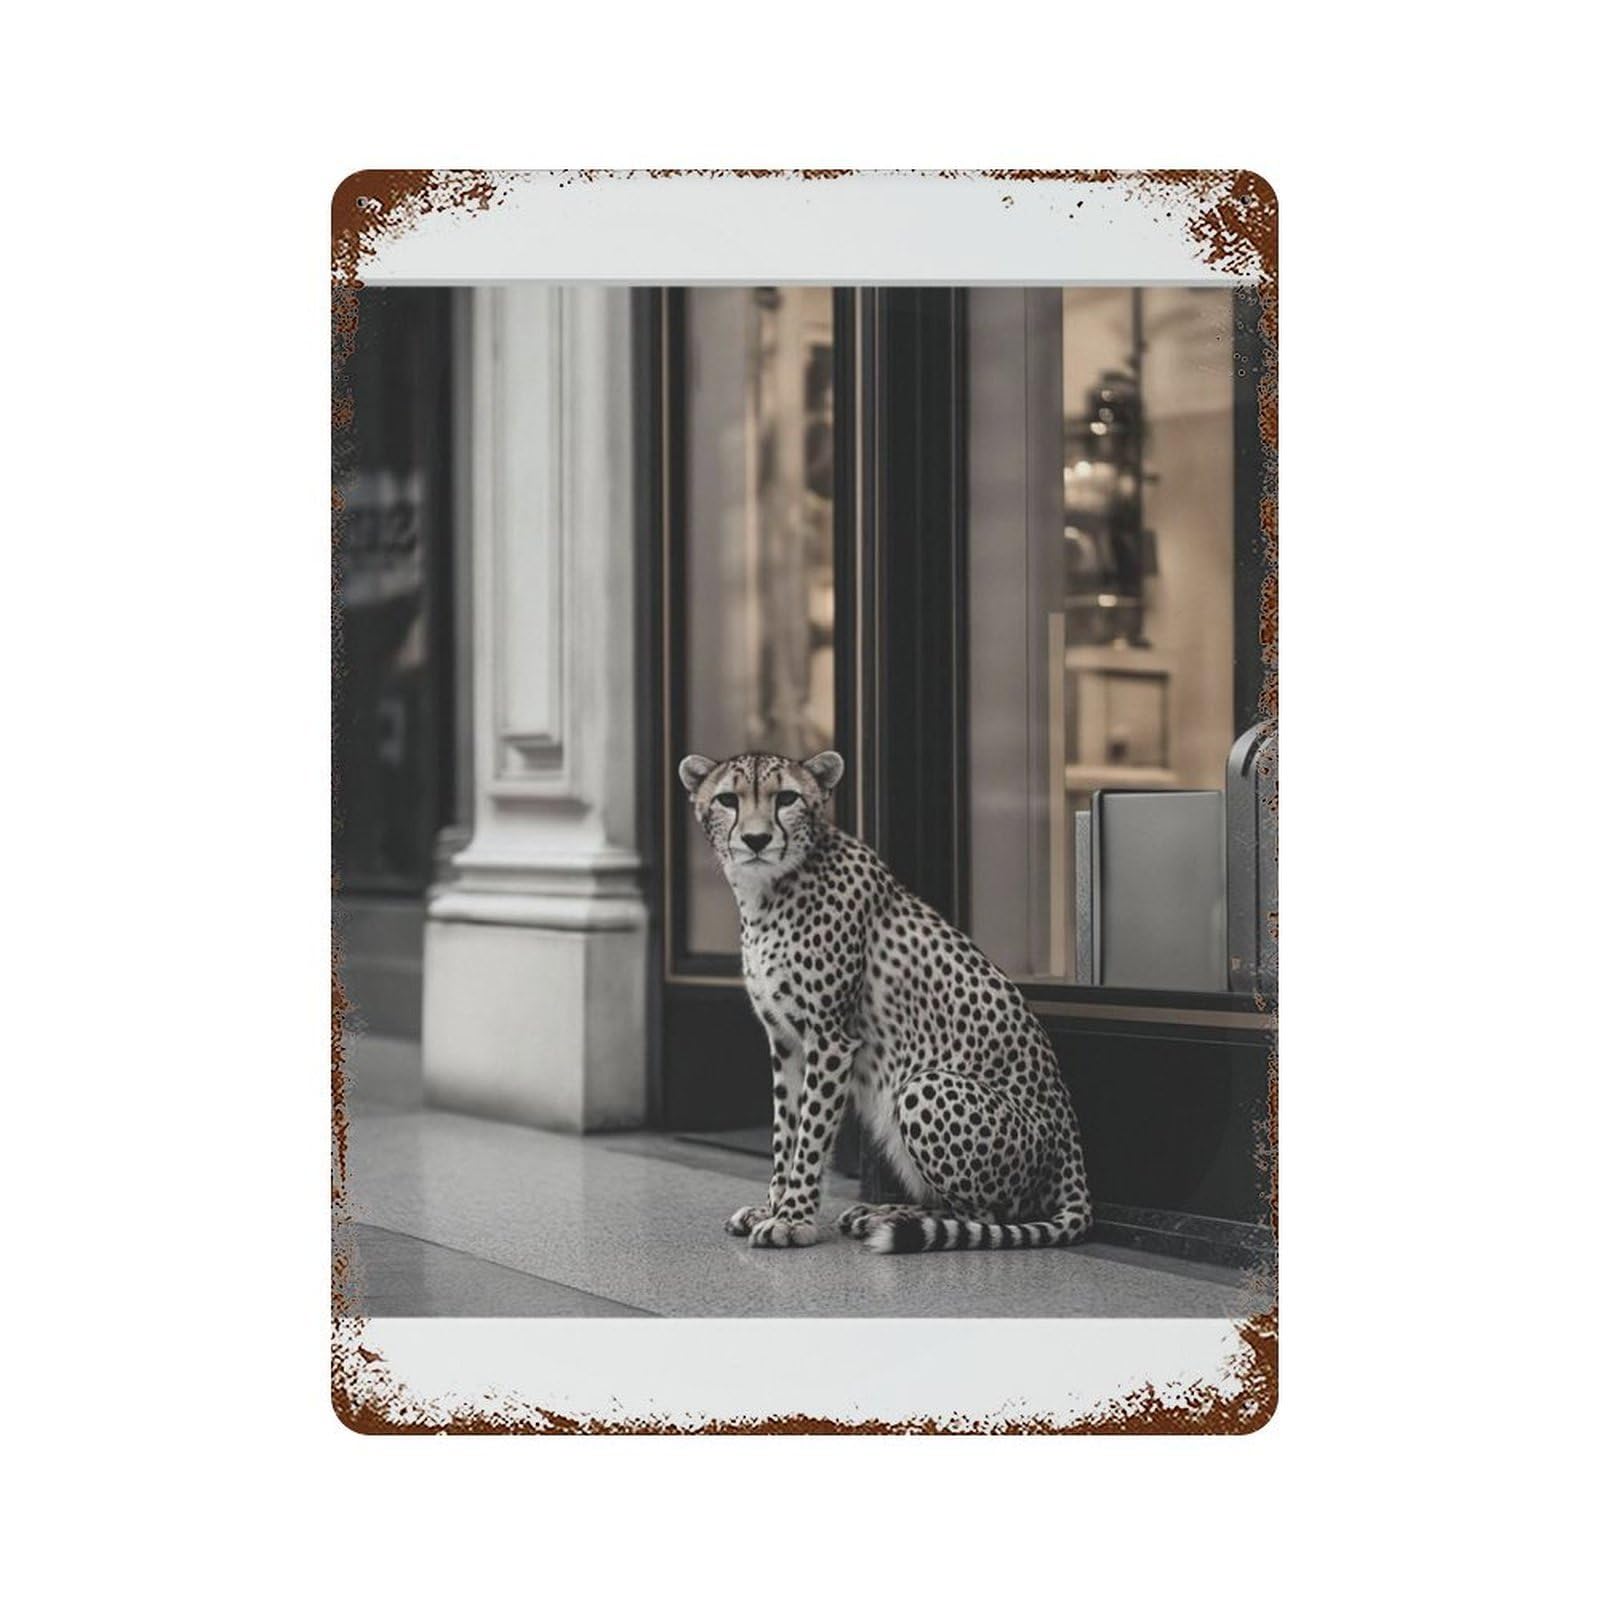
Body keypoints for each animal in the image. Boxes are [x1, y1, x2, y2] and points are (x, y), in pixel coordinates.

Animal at [678, 748, 1092, 1253]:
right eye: (728, 800)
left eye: (787, 798)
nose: (757, 839)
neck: (768, 890)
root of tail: (1072, 1144)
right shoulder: (786, 1040)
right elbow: (785, 1132)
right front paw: (773, 1207)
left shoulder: (829, 1039)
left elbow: (810, 1136)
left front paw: (793, 1219)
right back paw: (877, 1213)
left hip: (924, 1086)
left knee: (989, 1213)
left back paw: (890, 1216)